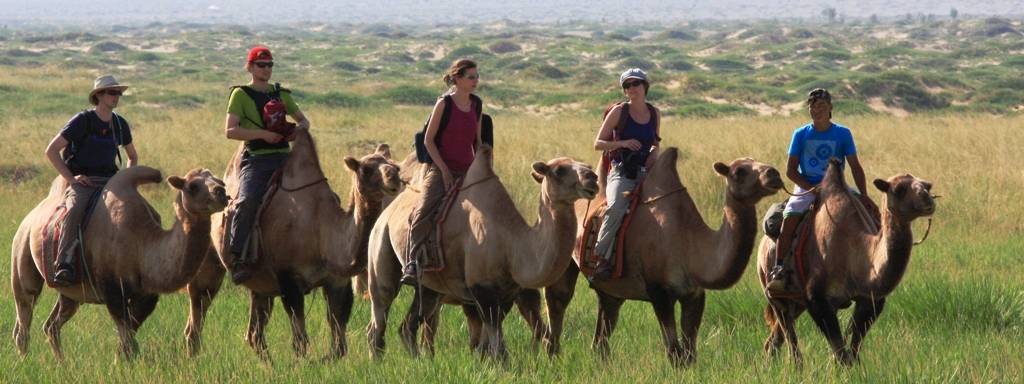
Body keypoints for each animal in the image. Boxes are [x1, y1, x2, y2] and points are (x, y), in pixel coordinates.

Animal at [12, 165, 229, 360]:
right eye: (192, 186)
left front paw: (118, 363)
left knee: (52, 325)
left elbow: (127, 341)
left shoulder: (147, 296)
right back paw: (24, 361)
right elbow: (128, 342)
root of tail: (29, 218)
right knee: (24, 314)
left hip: (71, 293)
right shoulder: (113, 291)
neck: (142, 245)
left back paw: (62, 364)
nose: (222, 193)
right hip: (21, 253)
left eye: (220, 181)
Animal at [188, 128, 399, 360]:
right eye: (367, 169)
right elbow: (300, 341)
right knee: (197, 315)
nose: (395, 177)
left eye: (394, 164)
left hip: (260, 283)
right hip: (208, 261)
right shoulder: (288, 279)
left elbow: (339, 345)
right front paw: (307, 364)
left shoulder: (337, 281)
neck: (322, 233)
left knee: (254, 334)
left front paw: (323, 360)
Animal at [366, 147, 598, 360]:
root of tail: (386, 213)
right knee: (380, 312)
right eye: (559, 170)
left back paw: (420, 362)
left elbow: (489, 347)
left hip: (430, 286)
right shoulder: (482, 289)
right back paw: (378, 361)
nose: (593, 178)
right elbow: (499, 350)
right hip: (380, 247)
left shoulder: (506, 293)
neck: (513, 245)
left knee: (408, 325)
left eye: (586, 165)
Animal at [540, 148, 778, 366]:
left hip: (612, 287)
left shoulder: (694, 293)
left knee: (604, 324)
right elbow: (675, 352)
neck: (690, 242)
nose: (773, 173)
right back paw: (553, 358)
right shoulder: (659, 292)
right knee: (558, 301)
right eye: (739, 171)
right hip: (564, 260)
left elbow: (690, 352)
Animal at [757, 158, 937, 366]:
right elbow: (841, 352)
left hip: (796, 301)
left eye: (927, 185)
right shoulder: (817, 298)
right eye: (898, 189)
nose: (928, 199)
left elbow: (853, 348)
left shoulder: (870, 300)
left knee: (775, 339)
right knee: (790, 338)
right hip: (773, 291)